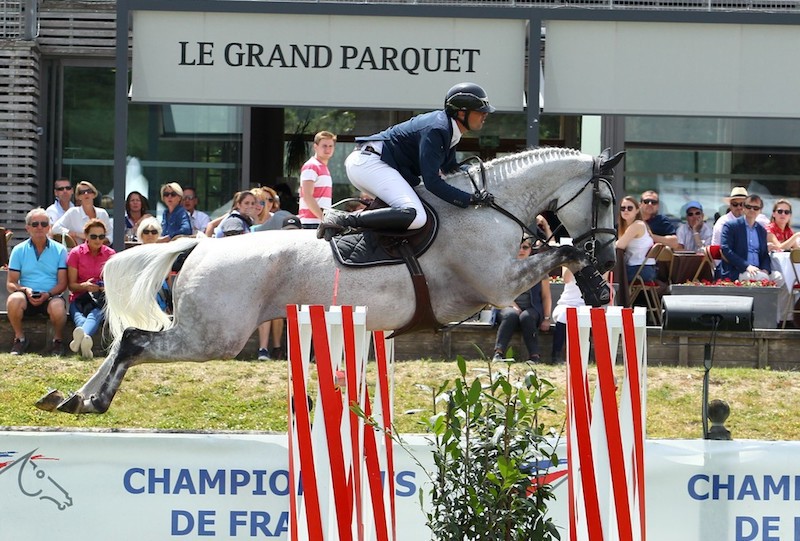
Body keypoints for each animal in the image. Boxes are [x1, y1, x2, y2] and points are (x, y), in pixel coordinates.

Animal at [37, 146, 620, 412]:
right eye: (605, 198)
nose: (614, 257)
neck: (486, 208)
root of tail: (201, 244)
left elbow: (560, 251)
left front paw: (595, 283)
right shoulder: (498, 285)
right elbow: (563, 250)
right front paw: (590, 272)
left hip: (206, 331)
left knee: (125, 343)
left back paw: (71, 398)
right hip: (213, 337)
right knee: (135, 341)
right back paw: (94, 400)